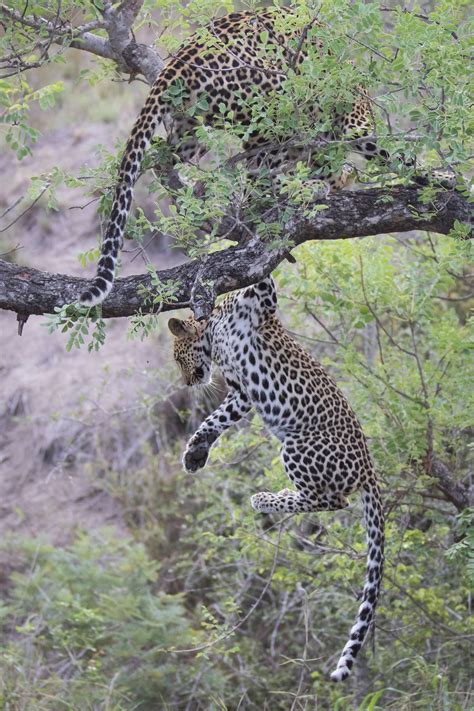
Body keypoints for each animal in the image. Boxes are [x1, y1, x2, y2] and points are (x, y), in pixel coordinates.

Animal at [78, 5, 452, 308]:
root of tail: (181, 59)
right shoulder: (352, 125)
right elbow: (394, 156)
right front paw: (442, 177)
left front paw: (330, 179)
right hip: (272, 104)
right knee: (257, 174)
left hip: (193, 129)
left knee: (175, 154)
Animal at [168, 276, 384, 680]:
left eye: (176, 357)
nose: (188, 383)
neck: (215, 338)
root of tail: (369, 470)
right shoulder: (241, 394)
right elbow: (214, 420)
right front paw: (195, 453)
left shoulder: (262, 305)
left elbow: (263, 280)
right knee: (330, 500)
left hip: (297, 445)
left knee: (329, 499)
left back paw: (264, 499)